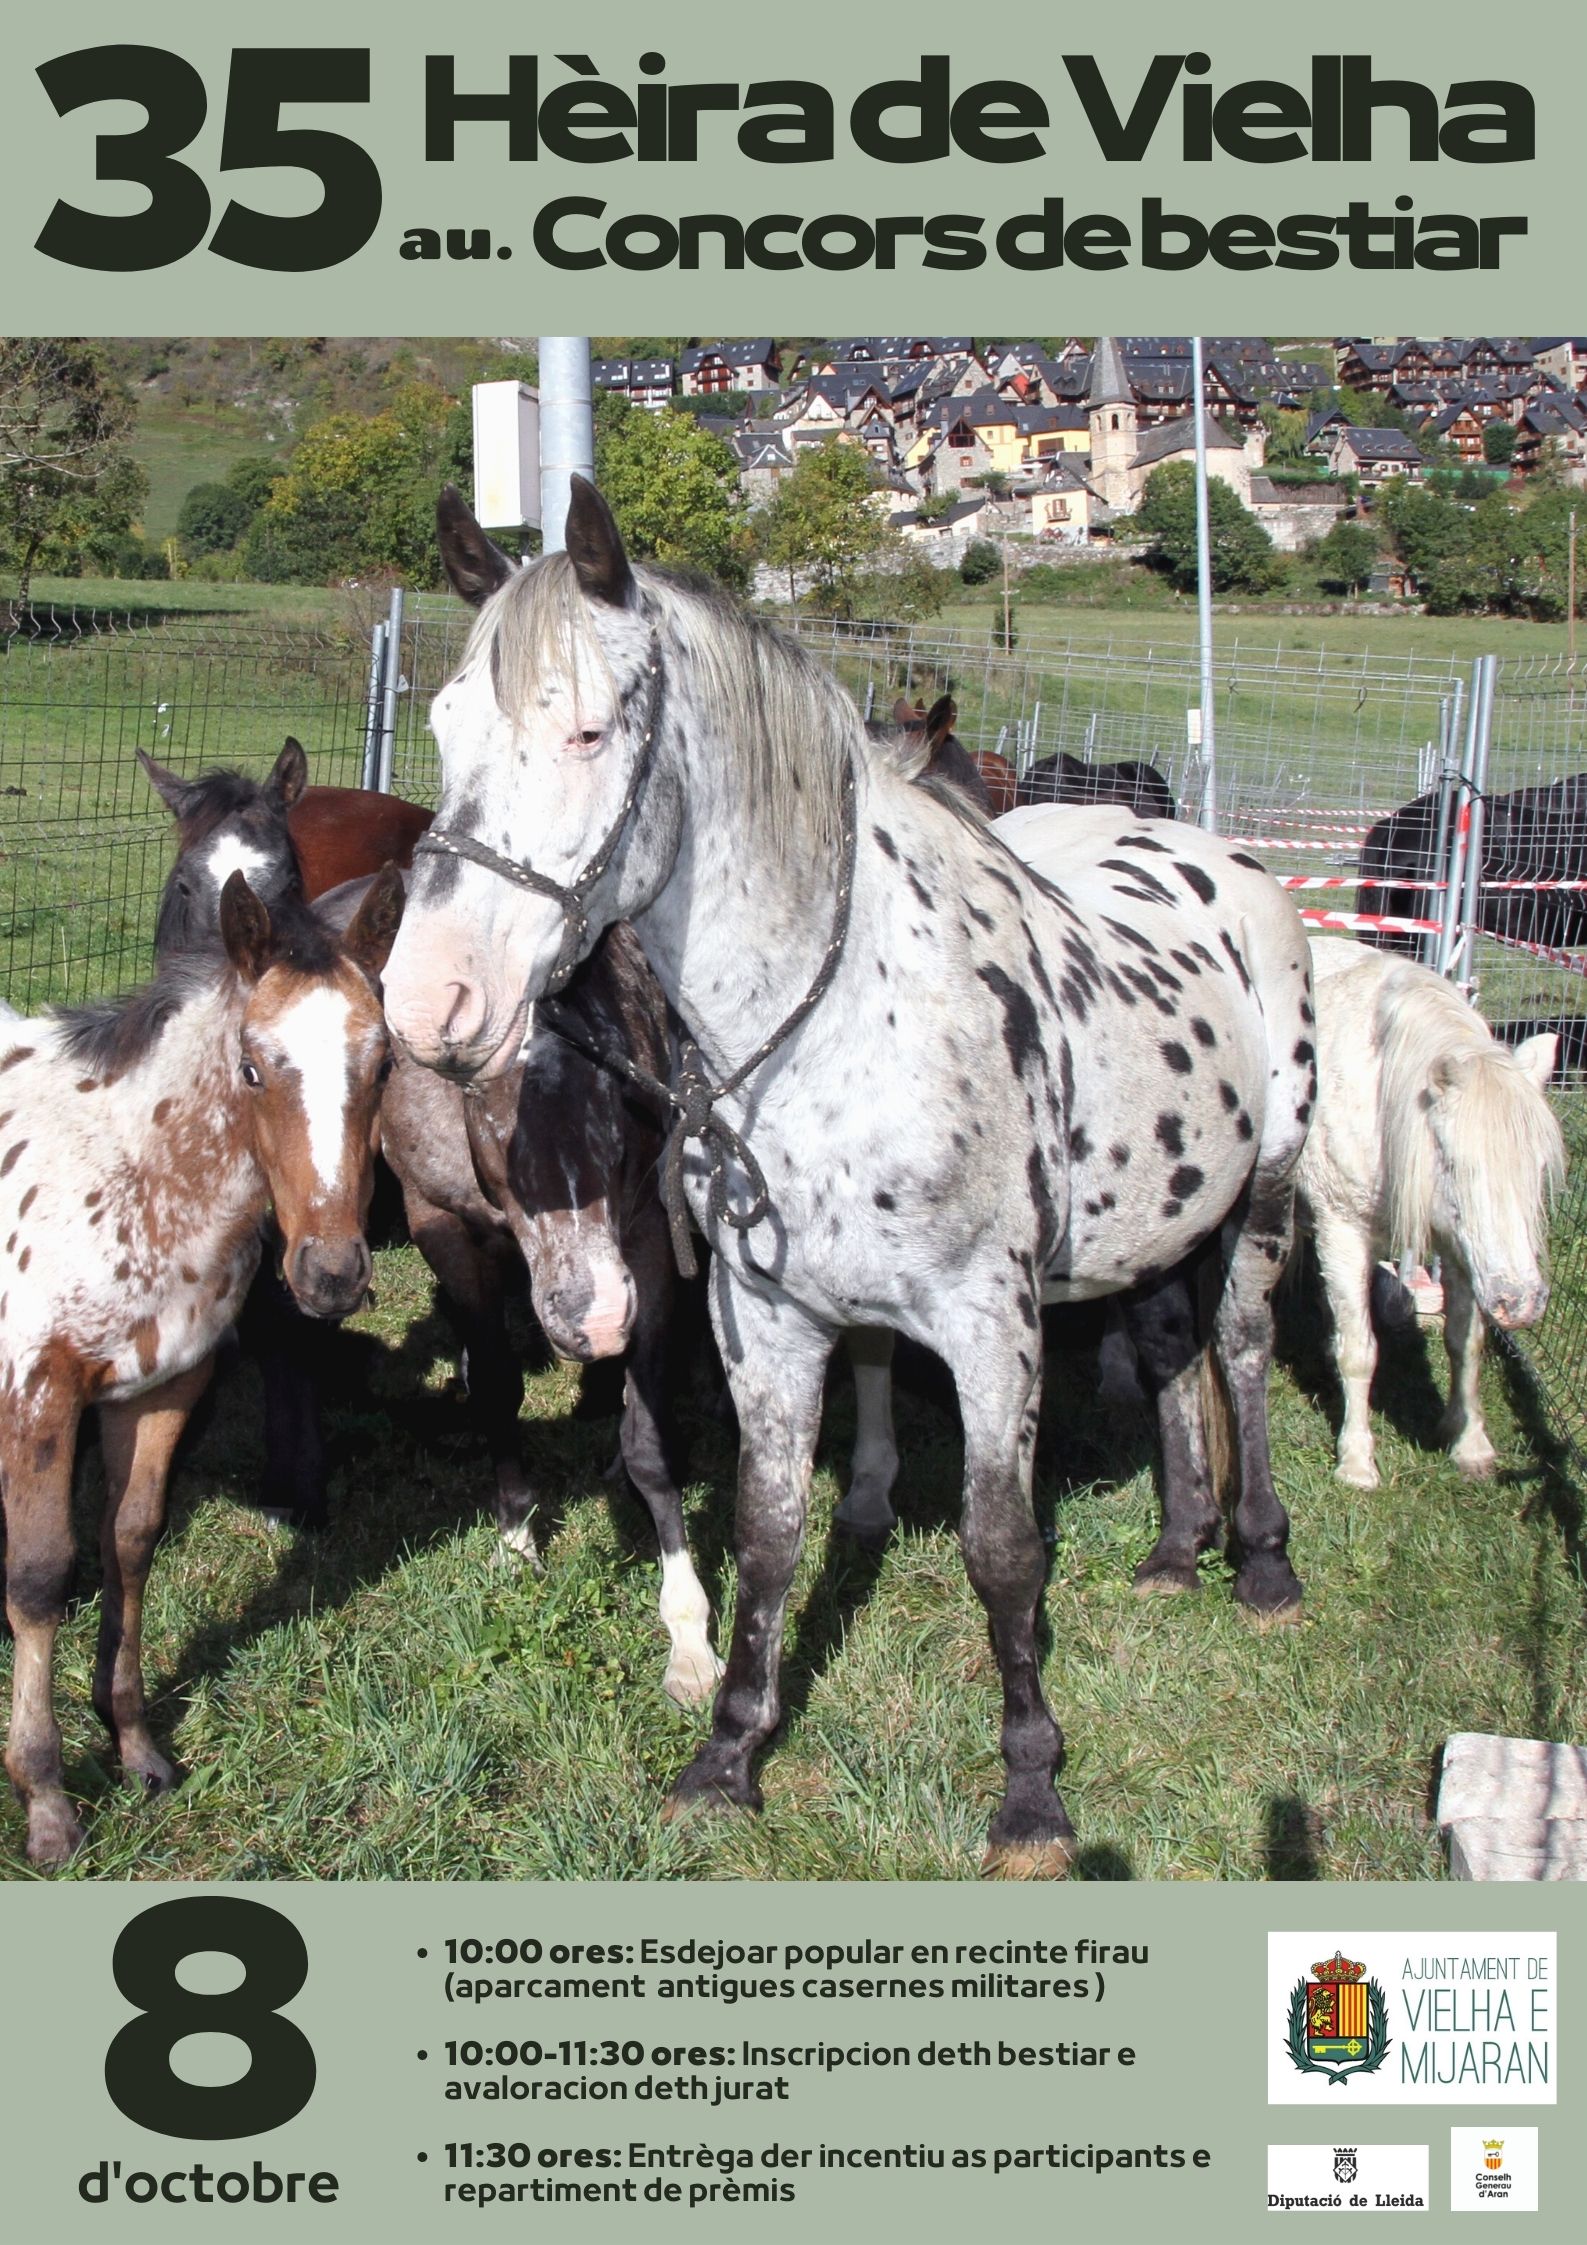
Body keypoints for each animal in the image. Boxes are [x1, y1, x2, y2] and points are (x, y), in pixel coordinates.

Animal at [1301, 938, 1562, 1481]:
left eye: (1539, 1168)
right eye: (1456, 1163)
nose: (1521, 1303)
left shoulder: (1463, 1251)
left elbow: (1465, 1341)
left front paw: (1468, 1441)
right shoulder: (1342, 1228)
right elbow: (1360, 1350)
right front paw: (1356, 1461)